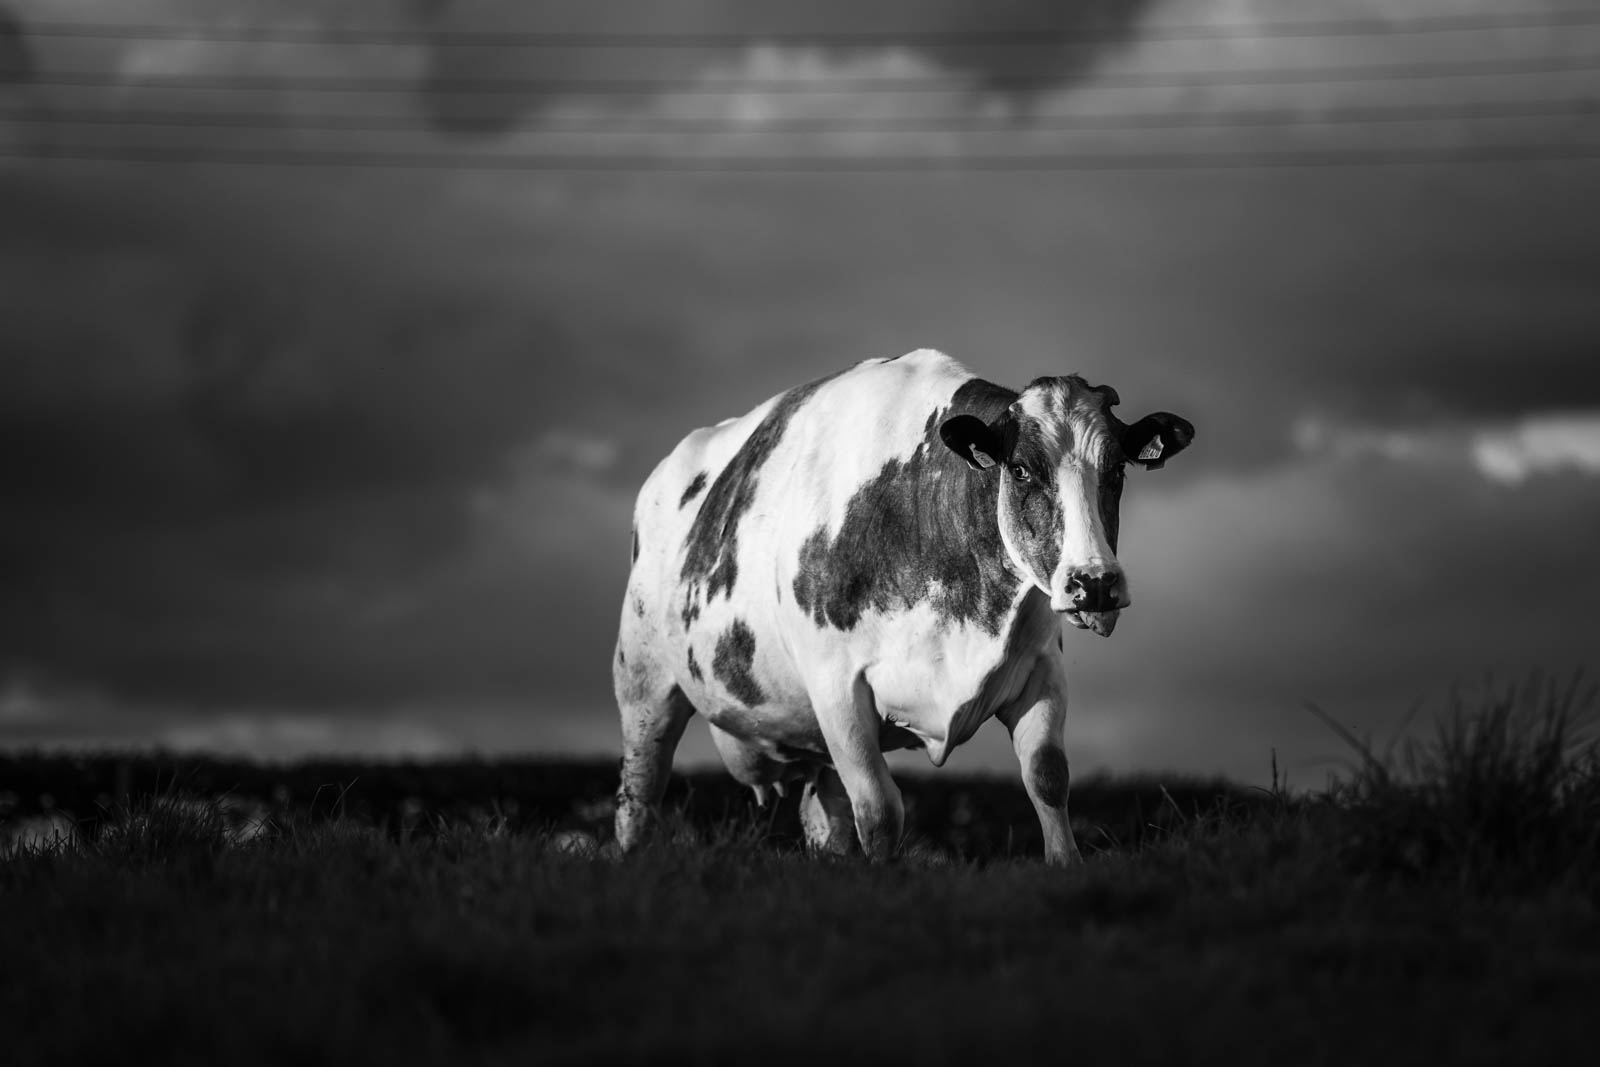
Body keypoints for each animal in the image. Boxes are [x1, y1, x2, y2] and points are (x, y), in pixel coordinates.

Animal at [612, 349, 1193, 864]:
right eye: (1022, 470)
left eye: (1117, 469)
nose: (1094, 584)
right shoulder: (837, 685)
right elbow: (879, 810)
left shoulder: (1043, 668)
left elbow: (1048, 780)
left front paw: (1065, 864)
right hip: (643, 681)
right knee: (639, 793)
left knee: (825, 816)